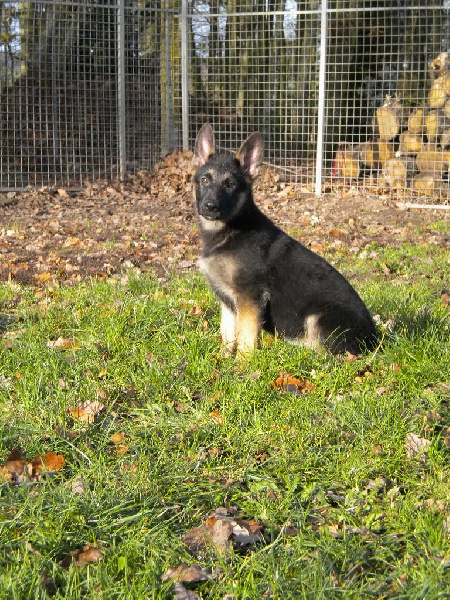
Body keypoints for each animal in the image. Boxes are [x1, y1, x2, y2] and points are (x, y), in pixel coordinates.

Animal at [194, 123, 380, 356]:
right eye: (205, 180)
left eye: (230, 185)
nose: (210, 206)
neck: (230, 230)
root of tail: (373, 339)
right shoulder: (227, 303)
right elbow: (228, 333)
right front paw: (222, 359)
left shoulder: (250, 297)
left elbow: (245, 337)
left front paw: (242, 363)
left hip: (320, 317)